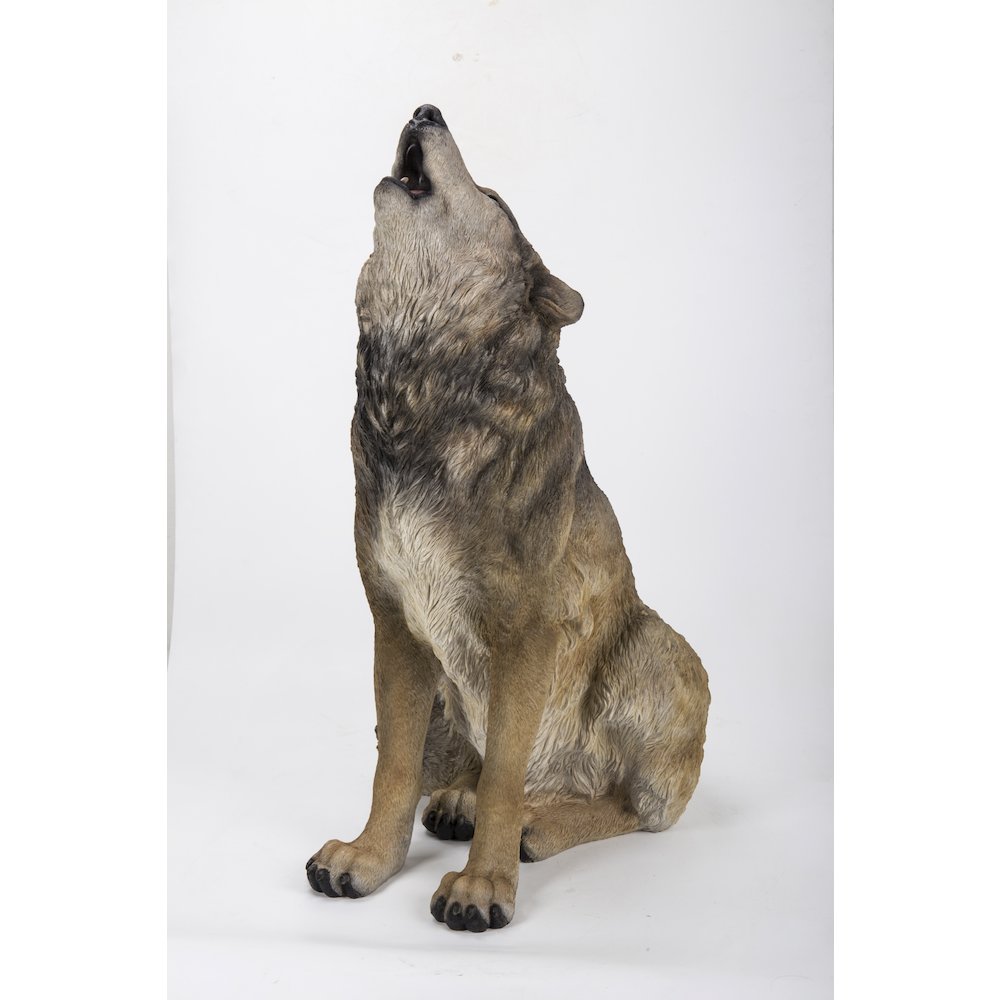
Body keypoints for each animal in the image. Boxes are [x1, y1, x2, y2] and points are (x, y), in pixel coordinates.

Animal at [306, 105, 710, 932]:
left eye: (492, 199)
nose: (427, 110)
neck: (425, 395)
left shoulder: (526, 633)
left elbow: (505, 779)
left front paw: (483, 883)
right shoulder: (396, 624)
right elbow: (394, 765)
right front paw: (370, 858)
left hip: (661, 648)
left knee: (626, 802)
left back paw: (539, 821)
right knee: (469, 768)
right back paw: (459, 798)